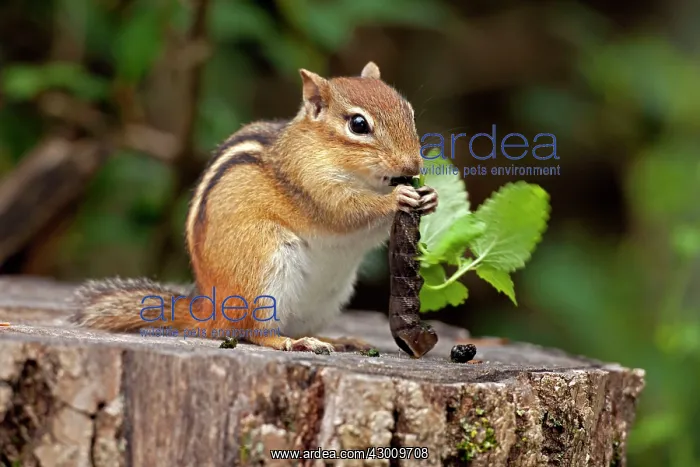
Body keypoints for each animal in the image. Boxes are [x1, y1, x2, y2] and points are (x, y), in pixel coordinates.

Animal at [70, 62, 438, 353]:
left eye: (409, 111)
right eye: (358, 125)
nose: (413, 165)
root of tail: (209, 309)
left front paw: (431, 196)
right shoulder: (311, 186)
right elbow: (346, 211)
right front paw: (396, 199)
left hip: (330, 294)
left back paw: (337, 339)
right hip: (265, 268)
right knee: (254, 332)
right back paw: (292, 342)